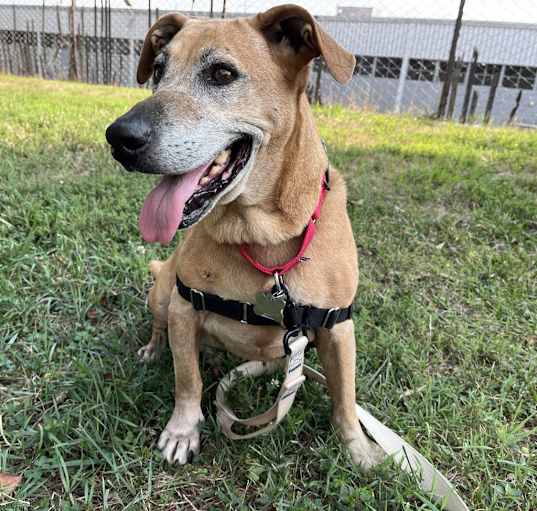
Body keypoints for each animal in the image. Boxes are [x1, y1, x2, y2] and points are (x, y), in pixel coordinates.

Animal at [105, 3, 382, 468]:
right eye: (158, 70)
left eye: (221, 74)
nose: (119, 138)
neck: (265, 238)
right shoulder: (184, 309)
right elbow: (188, 381)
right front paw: (182, 430)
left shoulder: (339, 329)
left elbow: (345, 396)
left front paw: (357, 448)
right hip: (161, 294)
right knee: (161, 329)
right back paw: (153, 349)